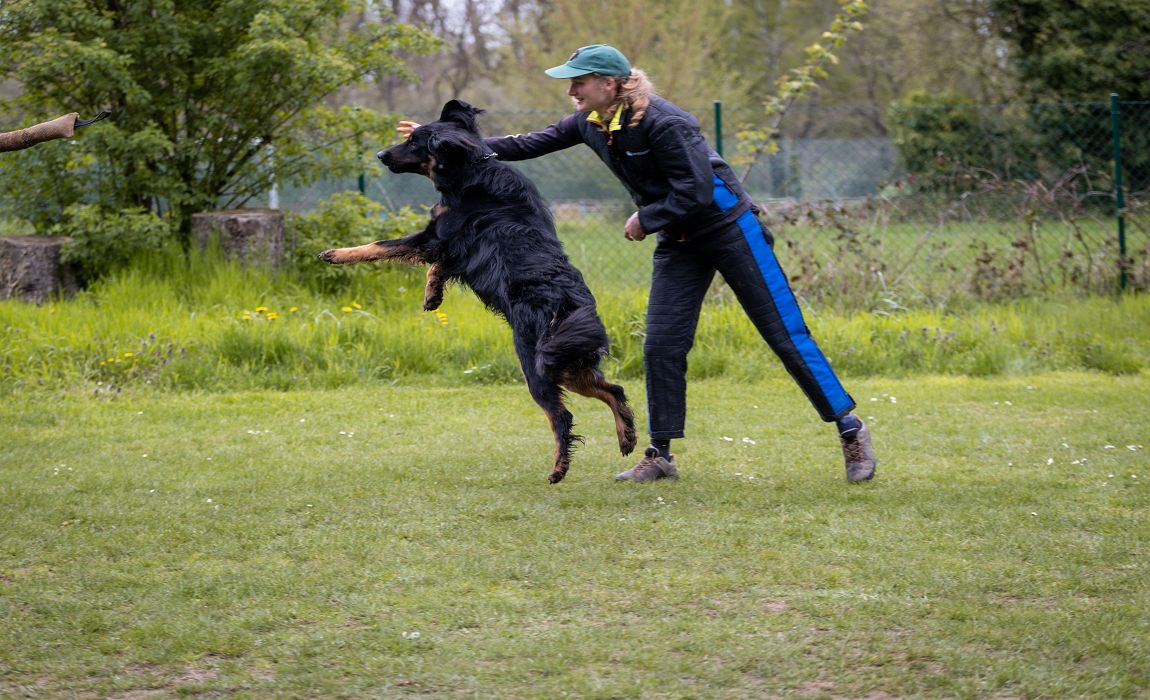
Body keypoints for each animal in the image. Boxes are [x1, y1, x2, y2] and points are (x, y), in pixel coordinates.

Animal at [317, 98, 639, 482]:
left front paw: (335, 253)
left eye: (413, 143)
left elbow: (380, 245)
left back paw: (559, 468)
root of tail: (574, 308)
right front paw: (432, 295)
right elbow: (438, 268)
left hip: (538, 367)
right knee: (614, 390)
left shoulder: (437, 237)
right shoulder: (455, 250)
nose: (381, 154)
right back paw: (626, 437)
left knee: (562, 416)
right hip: (569, 367)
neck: (472, 171)